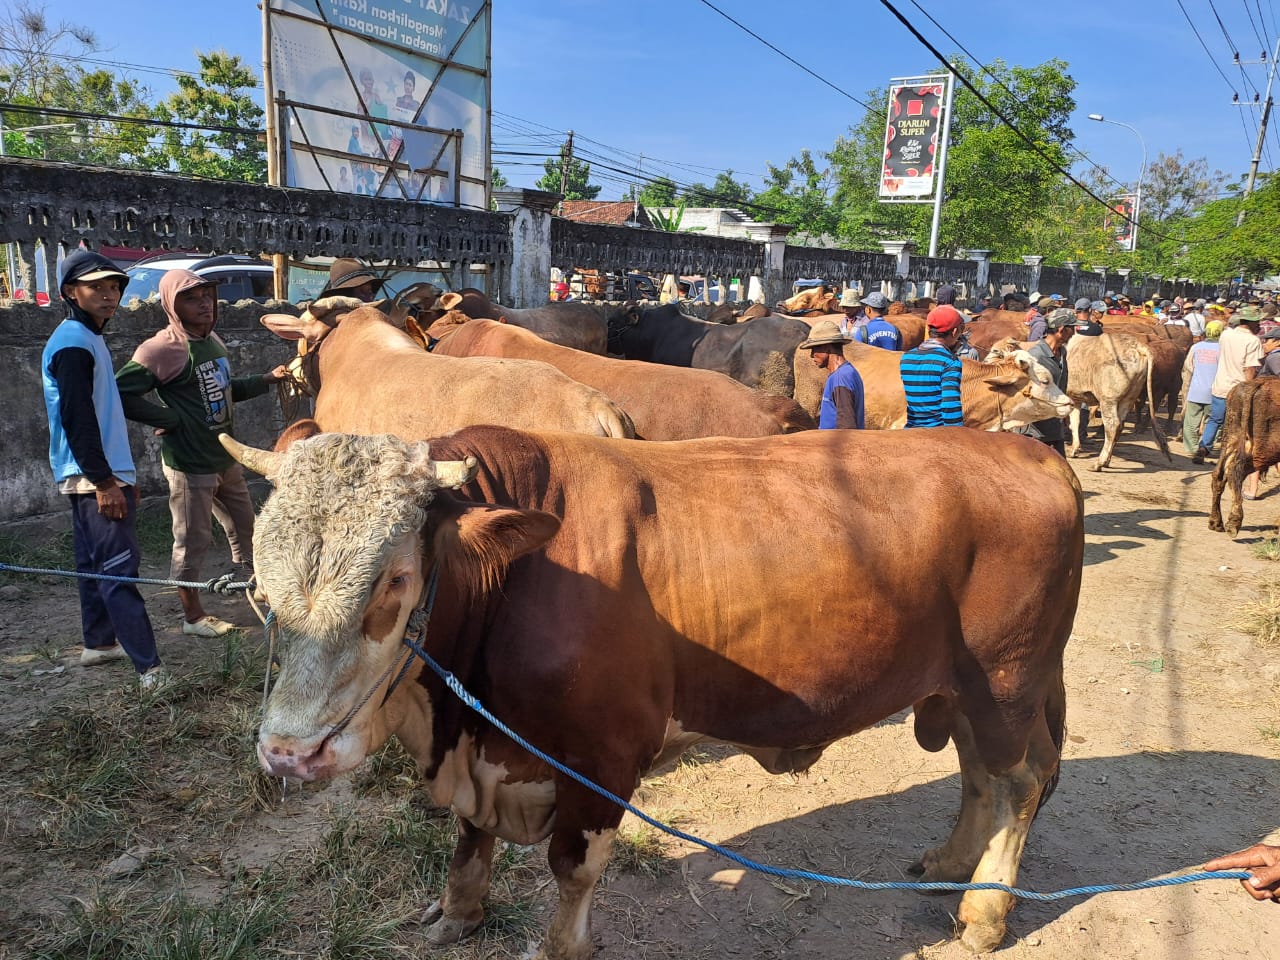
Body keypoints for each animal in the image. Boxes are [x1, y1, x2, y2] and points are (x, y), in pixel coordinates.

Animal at [220, 424, 1080, 957]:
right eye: (261, 581)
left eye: (394, 581)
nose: (290, 753)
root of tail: (1028, 453)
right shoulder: (487, 748)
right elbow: (469, 839)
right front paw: (458, 914)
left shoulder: (602, 756)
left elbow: (572, 868)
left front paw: (559, 947)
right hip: (967, 688)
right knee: (980, 771)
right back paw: (953, 861)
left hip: (1005, 680)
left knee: (1020, 781)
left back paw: (984, 909)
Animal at [1208, 378, 1280, 537]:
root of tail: (1256, 384)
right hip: (1263, 452)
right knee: (1234, 472)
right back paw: (1233, 523)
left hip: (1231, 438)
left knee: (1219, 474)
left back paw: (1216, 523)